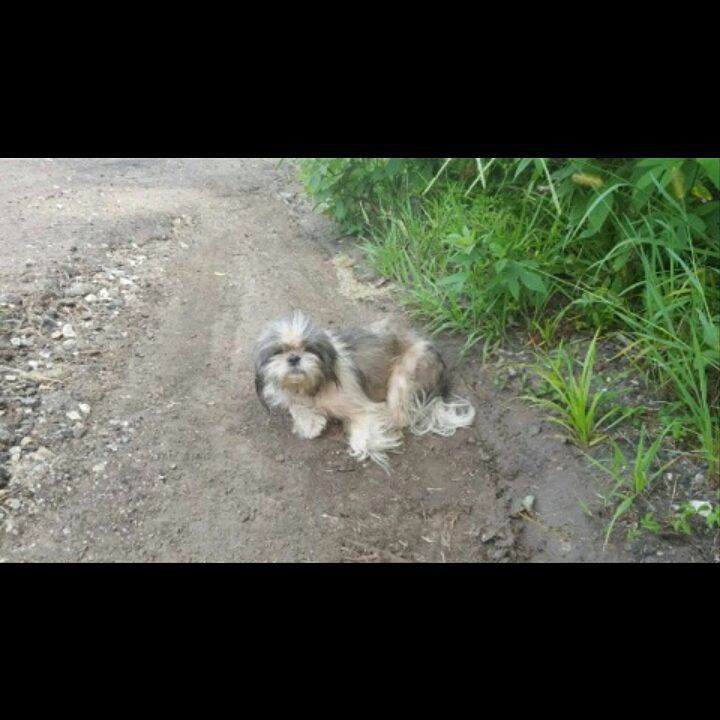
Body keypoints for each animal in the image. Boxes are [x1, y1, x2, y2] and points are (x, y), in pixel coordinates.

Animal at [255, 310, 478, 470]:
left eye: (308, 349)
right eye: (278, 351)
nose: (294, 358)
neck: (313, 385)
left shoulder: (362, 406)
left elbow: (361, 439)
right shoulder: (293, 397)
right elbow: (295, 406)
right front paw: (310, 422)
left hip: (404, 374)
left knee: (401, 416)